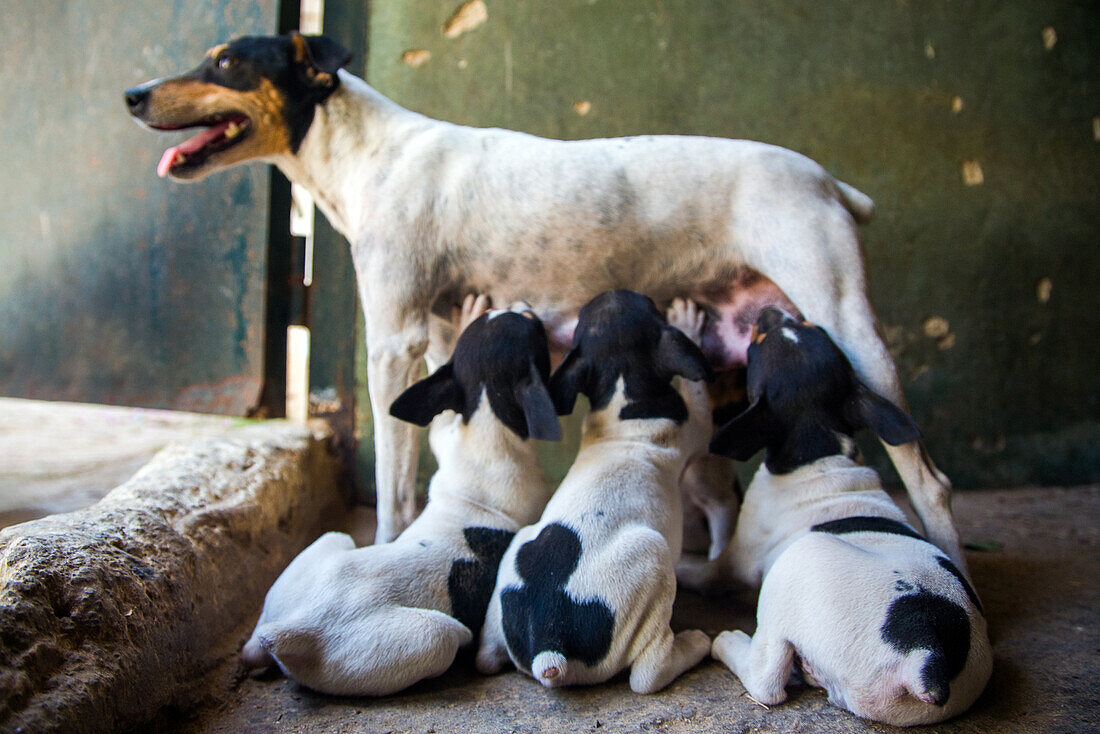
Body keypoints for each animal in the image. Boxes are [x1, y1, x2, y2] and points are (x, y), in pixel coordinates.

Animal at [122, 31, 963, 567]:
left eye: (227, 61)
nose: (131, 93)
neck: (367, 153)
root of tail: (827, 179)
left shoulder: (391, 343)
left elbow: (393, 486)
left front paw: (388, 550)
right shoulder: (439, 343)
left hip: (855, 333)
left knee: (931, 481)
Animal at [244, 297, 563, 695]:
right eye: (533, 325)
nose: (522, 303)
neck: (489, 428)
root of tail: (297, 630)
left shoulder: (449, 439)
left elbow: (439, 429)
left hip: (329, 544)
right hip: (437, 638)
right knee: (448, 639)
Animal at [479, 290, 717, 695]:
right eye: (648, 303)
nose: (613, 290)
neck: (621, 389)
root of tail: (549, 648)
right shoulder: (696, 426)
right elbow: (700, 393)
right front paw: (688, 322)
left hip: (517, 550)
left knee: (487, 655)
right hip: (653, 556)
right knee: (649, 672)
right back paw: (694, 645)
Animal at [682, 308, 994, 726]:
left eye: (758, 341)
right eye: (811, 326)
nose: (770, 311)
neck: (819, 446)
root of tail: (927, 657)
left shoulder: (733, 563)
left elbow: (702, 571)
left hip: (793, 567)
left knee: (767, 679)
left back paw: (729, 643)